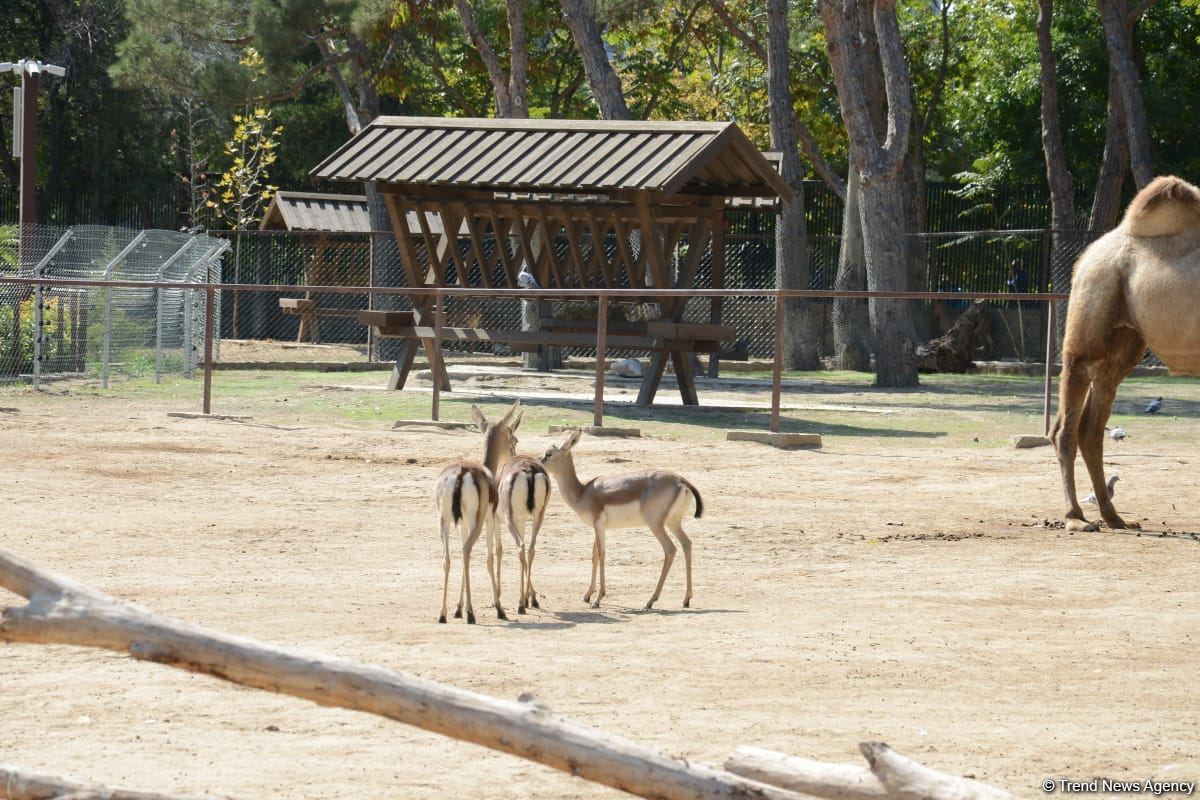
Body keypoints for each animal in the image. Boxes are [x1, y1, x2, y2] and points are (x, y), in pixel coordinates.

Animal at [1051, 175, 1200, 532]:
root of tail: (1087, 255)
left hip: (1126, 339)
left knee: (1092, 425)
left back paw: (1113, 517)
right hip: (1093, 304)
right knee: (1067, 424)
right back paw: (1076, 517)